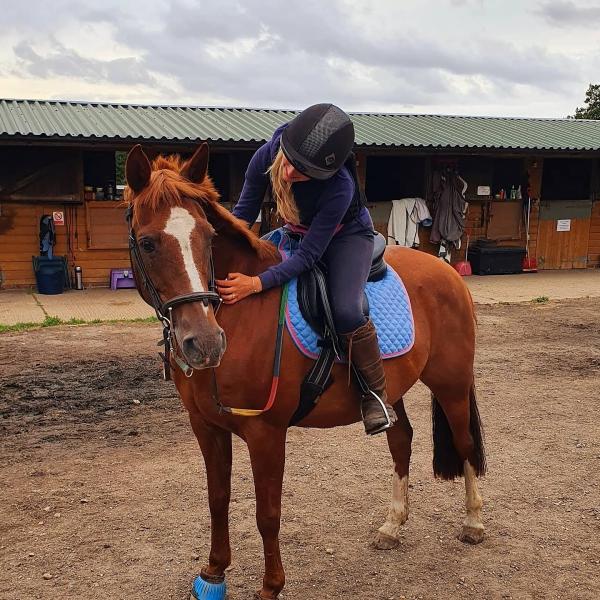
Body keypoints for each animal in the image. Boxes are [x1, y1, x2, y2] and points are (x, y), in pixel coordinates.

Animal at [124, 143, 486, 596]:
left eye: (207, 238)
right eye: (148, 243)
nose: (204, 344)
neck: (237, 316)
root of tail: (448, 272)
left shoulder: (266, 432)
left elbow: (267, 513)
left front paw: (270, 586)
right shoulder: (206, 427)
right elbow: (217, 499)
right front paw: (213, 573)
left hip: (451, 385)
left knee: (465, 442)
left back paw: (473, 522)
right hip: (392, 390)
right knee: (401, 440)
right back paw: (392, 526)